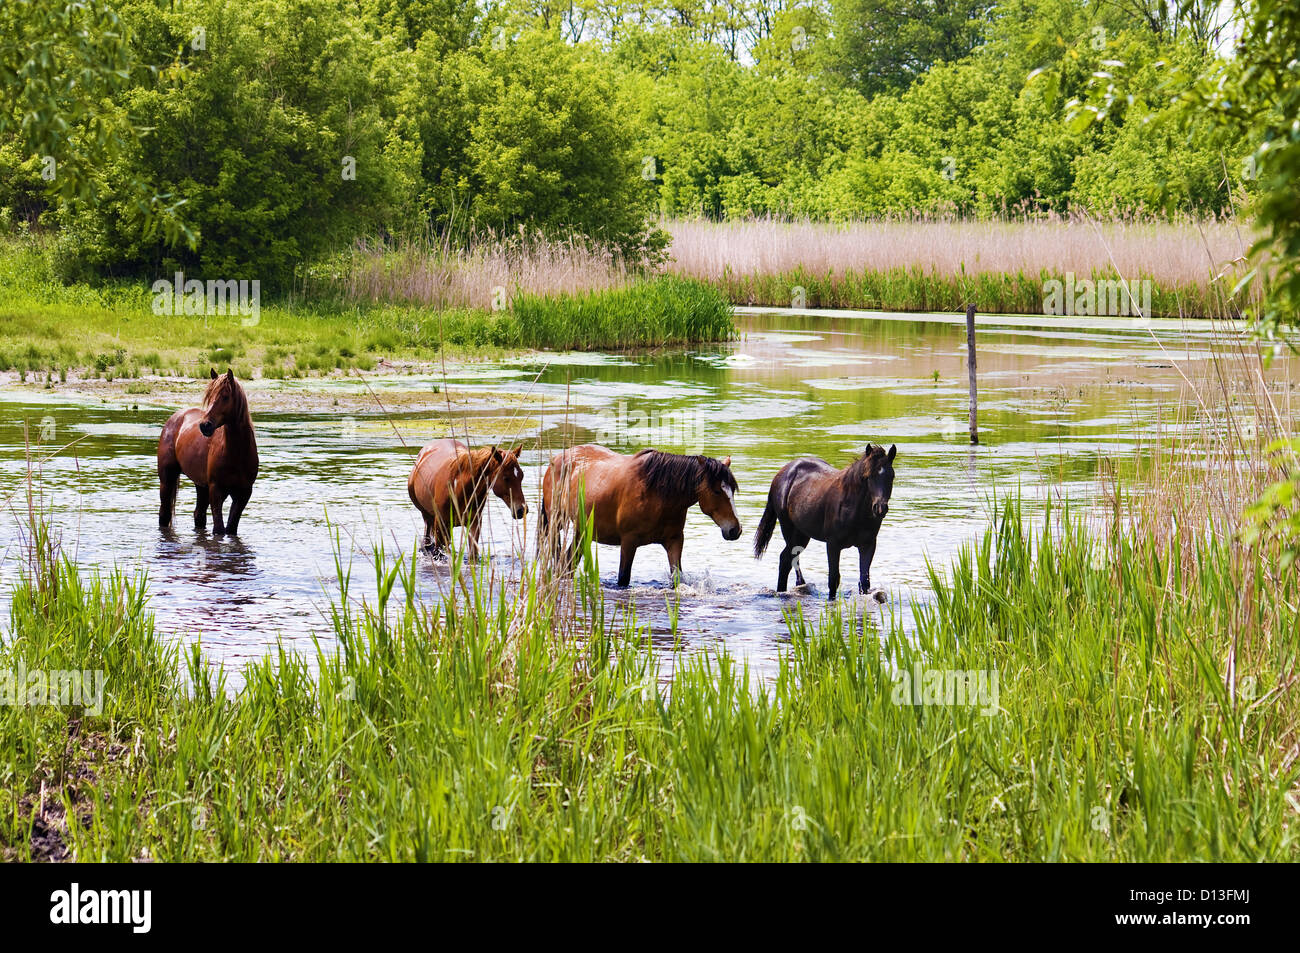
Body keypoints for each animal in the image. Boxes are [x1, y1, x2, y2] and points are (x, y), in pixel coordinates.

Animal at [157, 369, 258, 535]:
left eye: (225, 396)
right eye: (209, 396)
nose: (205, 425)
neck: (237, 454)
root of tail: (175, 418)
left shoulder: (243, 494)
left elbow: (230, 529)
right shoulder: (216, 490)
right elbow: (219, 529)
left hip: (201, 486)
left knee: (198, 514)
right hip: (167, 480)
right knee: (164, 514)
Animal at [538, 447, 743, 587]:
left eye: (732, 490)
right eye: (717, 491)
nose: (735, 530)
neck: (659, 494)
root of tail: (557, 459)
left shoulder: (675, 540)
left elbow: (677, 577)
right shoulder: (629, 541)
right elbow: (623, 578)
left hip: (582, 532)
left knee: (568, 563)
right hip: (557, 523)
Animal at [754, 439, 894, 595]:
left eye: (891, 476)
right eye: (868, 476)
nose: (880, 508)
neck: (852, 510)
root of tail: (780, 475)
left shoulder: (868, 545)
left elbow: (864, 581)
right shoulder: (833, 545)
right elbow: (833, 579)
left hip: (802, 534)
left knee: (787, 559)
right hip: (789, 530)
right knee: (786, 560)